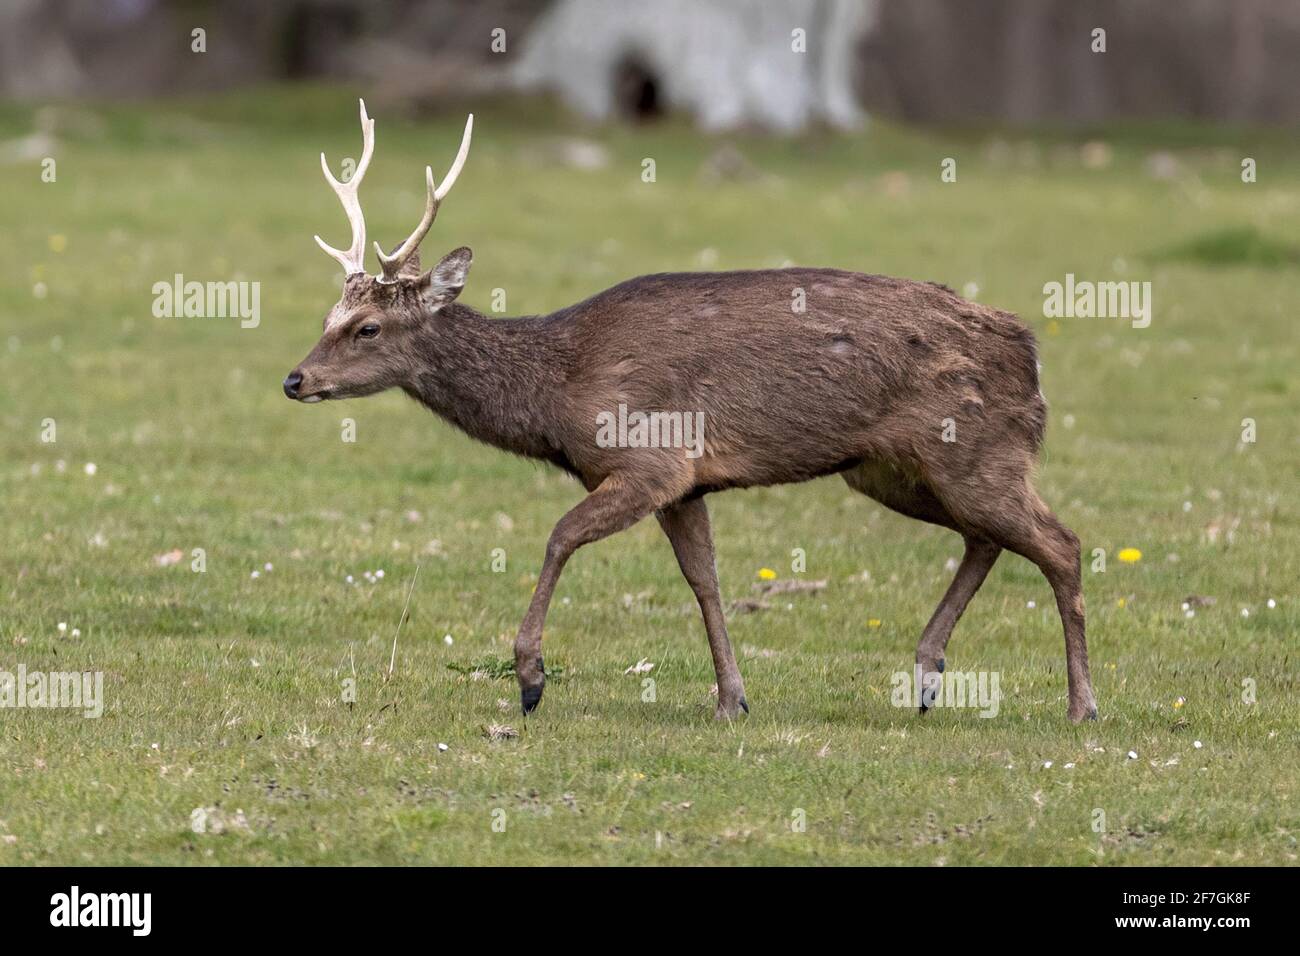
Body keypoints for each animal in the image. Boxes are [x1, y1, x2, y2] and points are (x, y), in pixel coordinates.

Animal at [284, 101, 1098, 723]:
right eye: (328, 316)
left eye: (367, 328)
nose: (295, 379)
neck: (557, 389)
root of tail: (1029, 349)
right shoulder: (688, 484)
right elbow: (704, 579)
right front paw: (733, 698)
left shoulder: (650, 458)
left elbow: (559, 536)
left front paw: (531, 679)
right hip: (890, 469)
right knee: (988, 538)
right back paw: (927, 676)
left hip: (975, 447)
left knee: (1060, 543)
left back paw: (1081, 706)